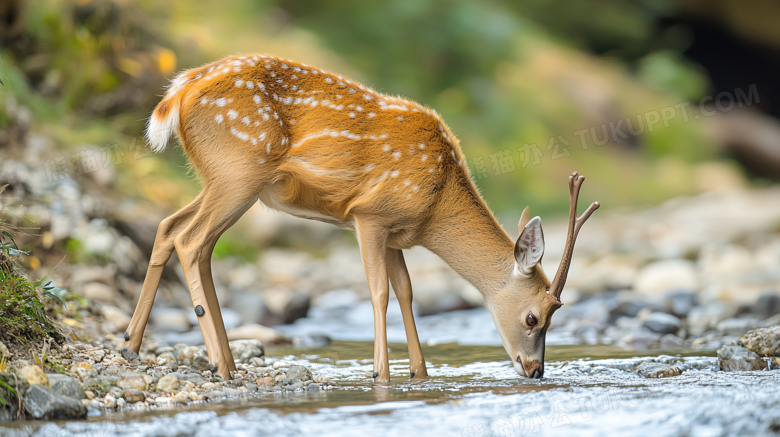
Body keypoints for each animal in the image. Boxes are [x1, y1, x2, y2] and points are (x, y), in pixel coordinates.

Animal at [120, 53, 596, 382]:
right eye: (534, 317)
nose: (535, 370)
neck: (436, 203)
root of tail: (177, 93)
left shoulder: (397, 233)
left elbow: (406, 292)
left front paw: (419, 373)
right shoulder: (370, 215)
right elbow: (379, 291)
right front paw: (380, 375)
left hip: (223, 181)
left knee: (170, 229)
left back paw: (136, 345)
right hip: (238, 171)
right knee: (191, 240)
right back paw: (219, 364)